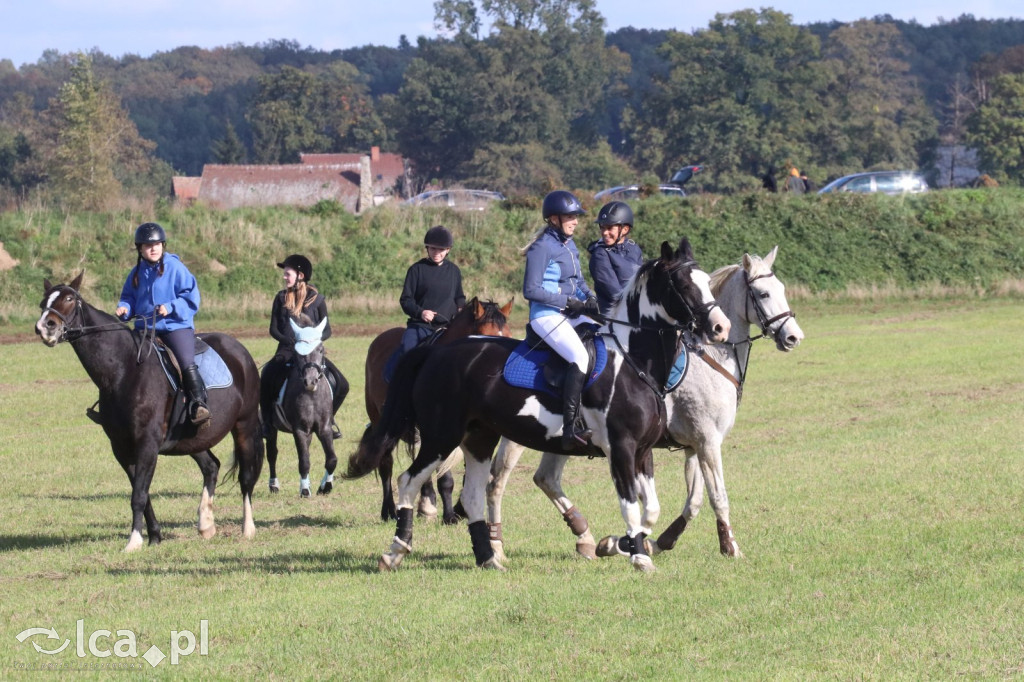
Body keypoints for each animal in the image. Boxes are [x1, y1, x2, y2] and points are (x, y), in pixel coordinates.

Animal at [35, 270, 264, 548]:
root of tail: (240, 352)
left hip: (244, 426)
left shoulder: (147, 444)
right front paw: (154, 536)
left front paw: (134, 542)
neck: (124, 369)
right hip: (191, 439)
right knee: (211, 466)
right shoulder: (122, 448)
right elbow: (141, 493)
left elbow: (139, 495)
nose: (45, 327)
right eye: (43, 302)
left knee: (246, 478)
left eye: (69, 298)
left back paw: (248, 528)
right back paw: (206, 524)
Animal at [264, 315, 339, 497]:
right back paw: (274, 485)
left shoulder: (324, 427)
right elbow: (304, 460)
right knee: (272, 453)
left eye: (321, 349)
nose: (310, 381)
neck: (312, 395)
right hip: (271, 427)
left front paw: (325, 486)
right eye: (297, 352)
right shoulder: (300, 429)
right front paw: (305, 490)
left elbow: (332, 459)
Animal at [364, 294, 516, 522]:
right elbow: (438, 474)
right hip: (380, 420)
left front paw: (455, 512)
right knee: (386, 464)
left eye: (508, 336)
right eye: (484, 336)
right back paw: (390, 510)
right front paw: (436, 510)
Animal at [483, 244, 802, 561]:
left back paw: (585, 538)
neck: (710, 358)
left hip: (562, 440)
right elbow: (717, 496)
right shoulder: (707, 440)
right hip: (522, 436)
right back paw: (496, 548)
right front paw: (730, 547)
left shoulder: (695, 445)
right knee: (497, 482)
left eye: (781, 288)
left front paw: (651, 542)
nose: (793, 337)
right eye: (763, 294)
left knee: (546, 478)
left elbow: (694, 501)